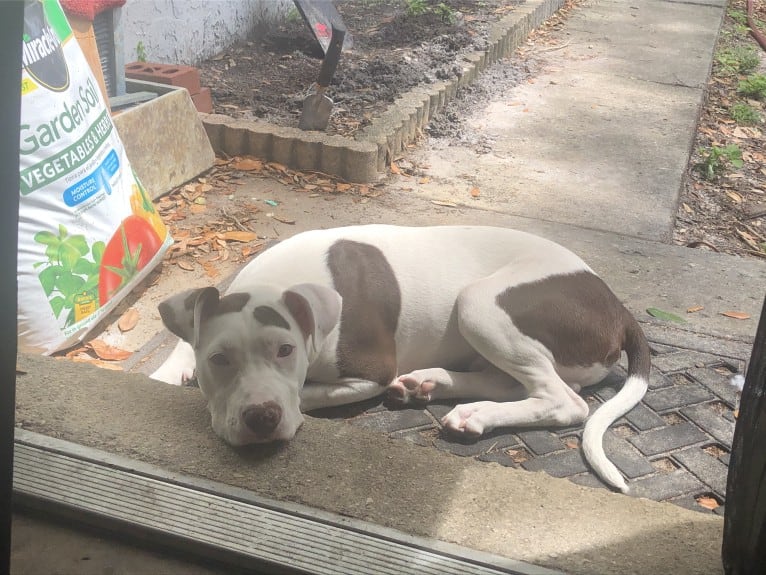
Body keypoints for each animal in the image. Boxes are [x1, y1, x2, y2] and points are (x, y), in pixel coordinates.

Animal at [153, 224, 652, 490]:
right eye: (219, 359)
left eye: (286, 351)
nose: (260, 418)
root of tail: (618, 307)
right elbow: (182, 339)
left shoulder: (369, 372)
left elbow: (308, 395)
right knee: (514, 383)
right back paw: (431, 386)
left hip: (479, 303)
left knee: (563, 398)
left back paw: (472, 413)